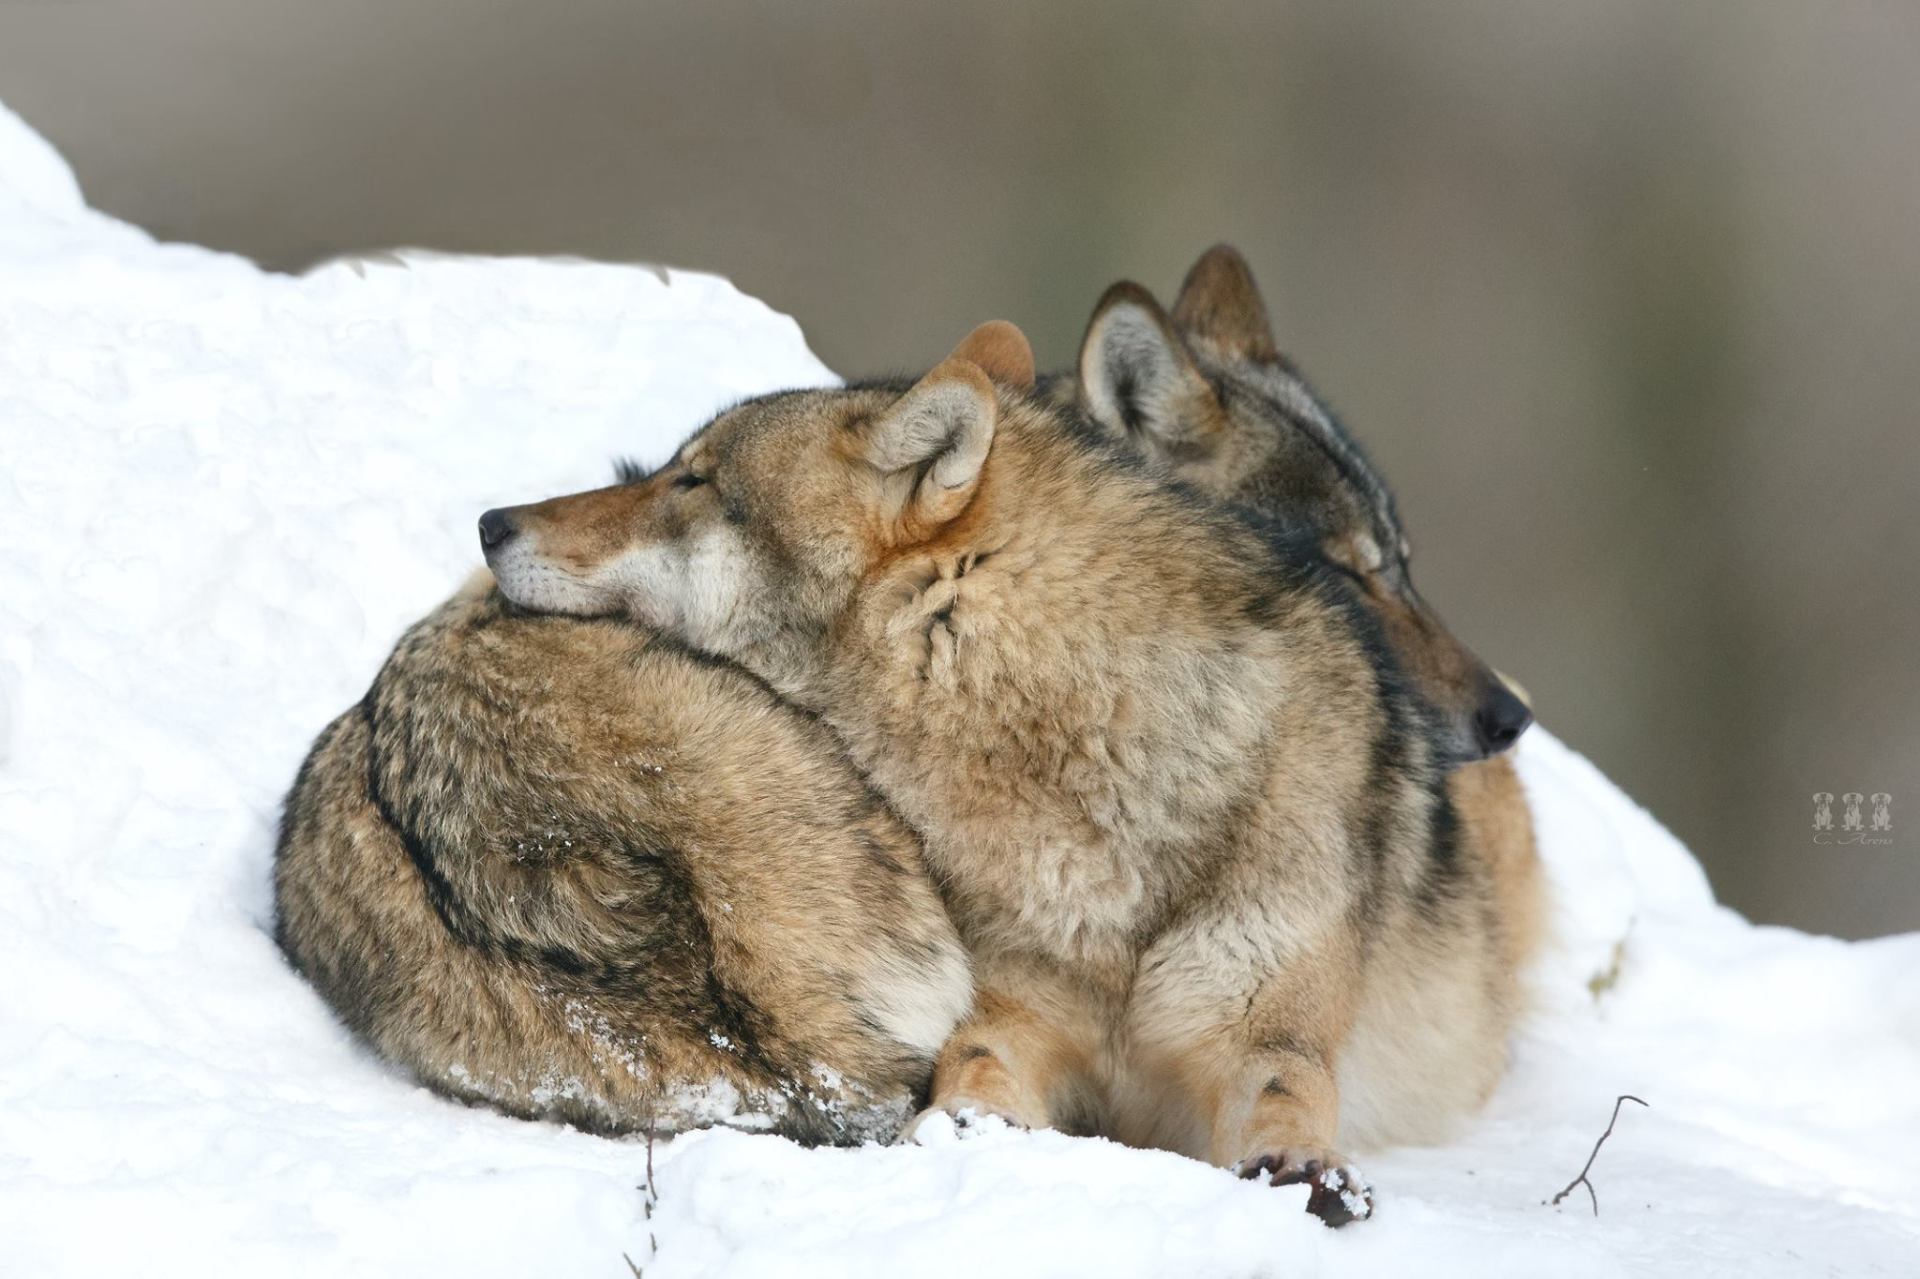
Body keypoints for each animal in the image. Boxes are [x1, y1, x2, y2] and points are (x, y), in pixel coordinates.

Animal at [481, 322, 1525, 1225]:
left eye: (692, 479)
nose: (492, 520)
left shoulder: (1266, 1031)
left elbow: (1287, 1088)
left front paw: (1305, 1167)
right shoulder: (1013, 1009)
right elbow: (978, 1063)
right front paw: (970, 1126)